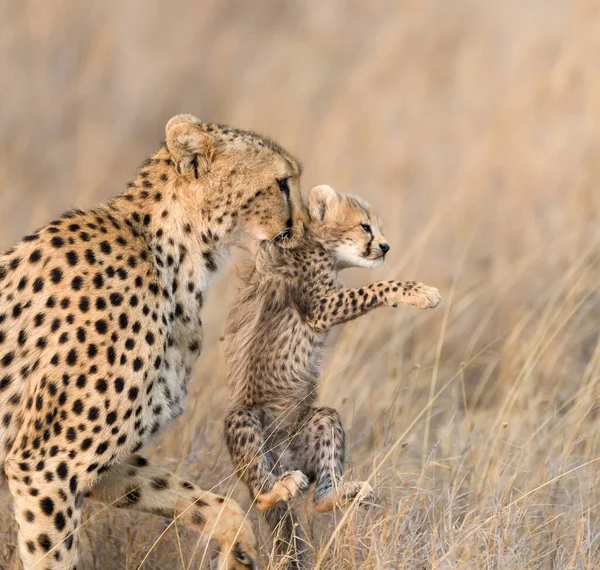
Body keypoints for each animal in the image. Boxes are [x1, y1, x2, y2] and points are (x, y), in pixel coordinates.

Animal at [0, 112, 308, 568]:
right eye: (282, 183)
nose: (304, 230)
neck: (172, 257)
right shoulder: (42, 467)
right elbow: (53, 558)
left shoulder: (96, 466)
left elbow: (213, 505)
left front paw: (240, 550)